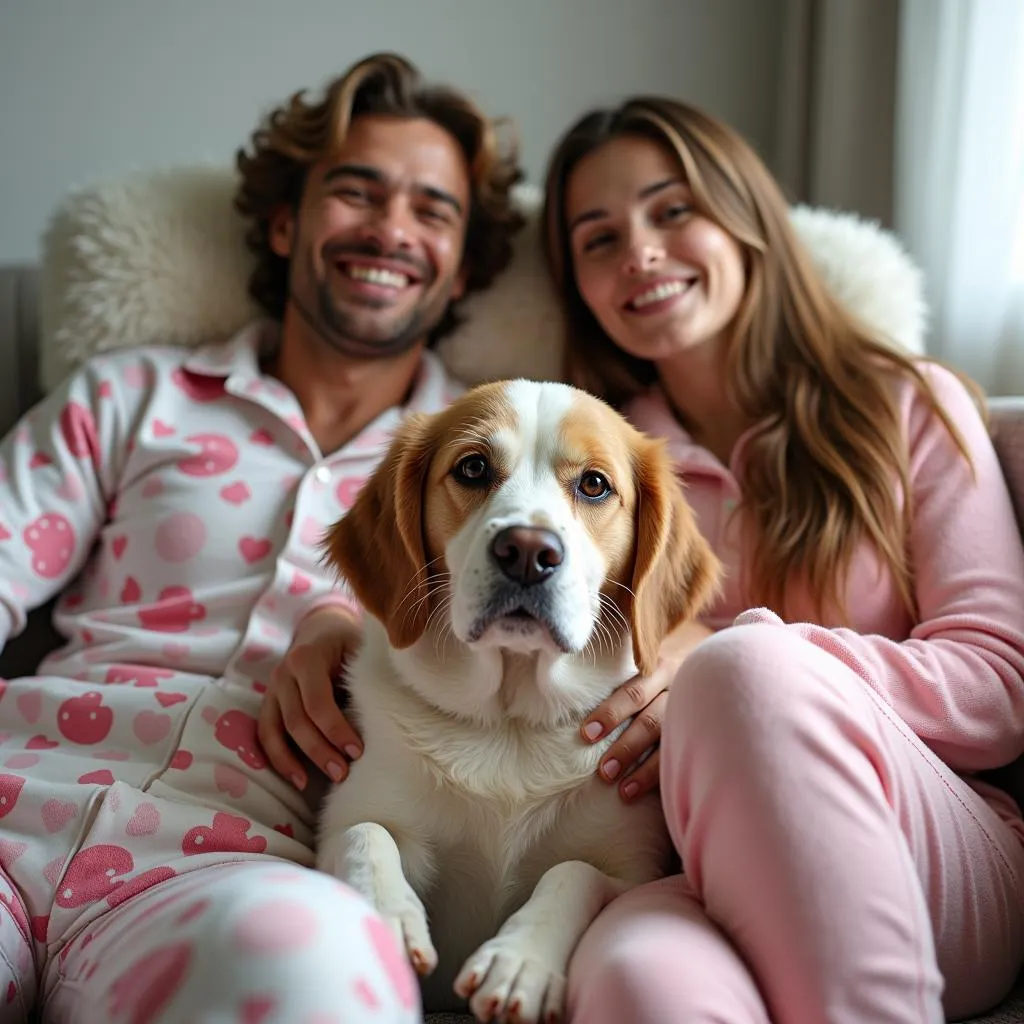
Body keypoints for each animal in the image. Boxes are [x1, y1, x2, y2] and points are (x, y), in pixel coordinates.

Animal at [315, 380, 716, 1019]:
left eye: (594, 484)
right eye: (473, 467)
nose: (527, 550)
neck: (510, 727)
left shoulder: (632, 872)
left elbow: (572, 872)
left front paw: (520, 960)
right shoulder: (345, 824)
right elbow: (367, 835)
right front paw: (385, 918)